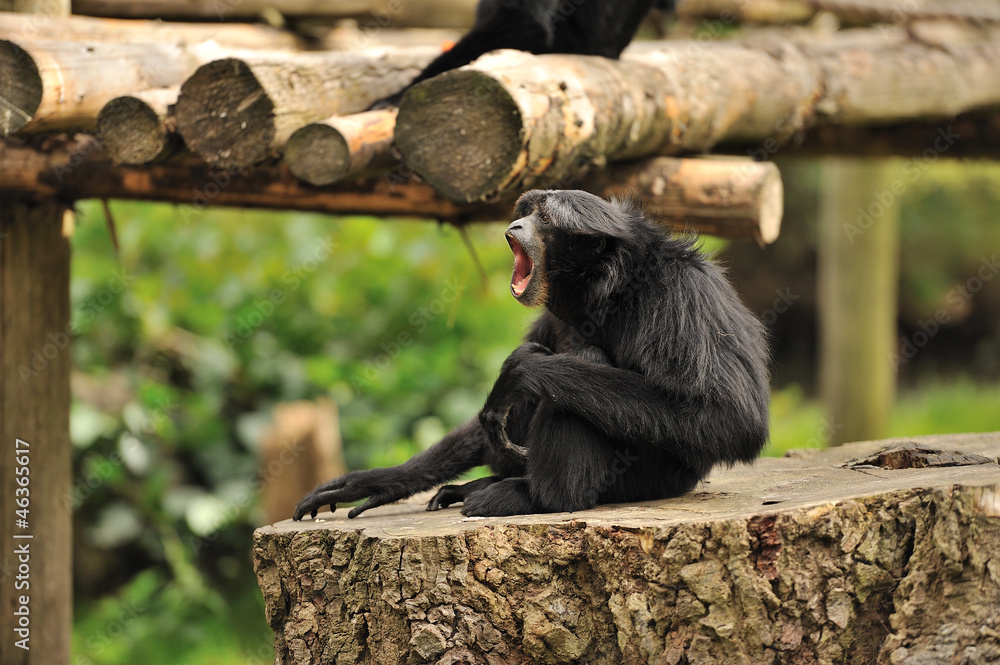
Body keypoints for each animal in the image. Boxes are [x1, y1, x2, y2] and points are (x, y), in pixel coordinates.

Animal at [293, 189, 769, 519]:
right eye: (528, 210)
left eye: (544, 217)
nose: (517, 224)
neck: (611, 290)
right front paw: (377, 483)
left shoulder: (681, 295)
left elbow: (730, 420)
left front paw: (520, 369)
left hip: (648, 478)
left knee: (582, 364)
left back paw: (538, 496)